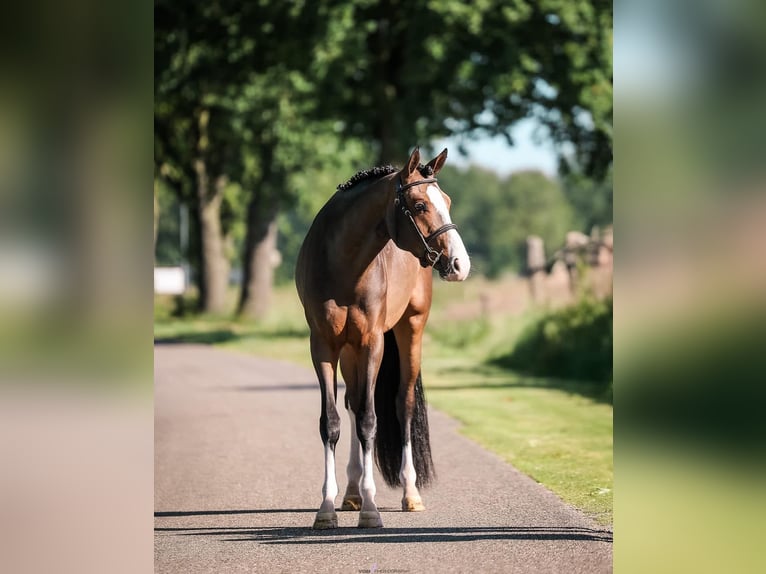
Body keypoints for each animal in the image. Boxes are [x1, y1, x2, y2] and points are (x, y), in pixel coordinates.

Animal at [296, 148, 472, 532]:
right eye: (419, 205)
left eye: (448, 201)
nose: (460, 264)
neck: (343, 263)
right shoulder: (323, 346)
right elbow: (332, 422)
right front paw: (327, 508)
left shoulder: (372, 343)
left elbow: (370, 420)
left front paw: (371, 510)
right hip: (349, 350)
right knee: (353, 403)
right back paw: (351, 492)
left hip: (411, 329)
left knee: (402, 404)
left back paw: (410, 493)